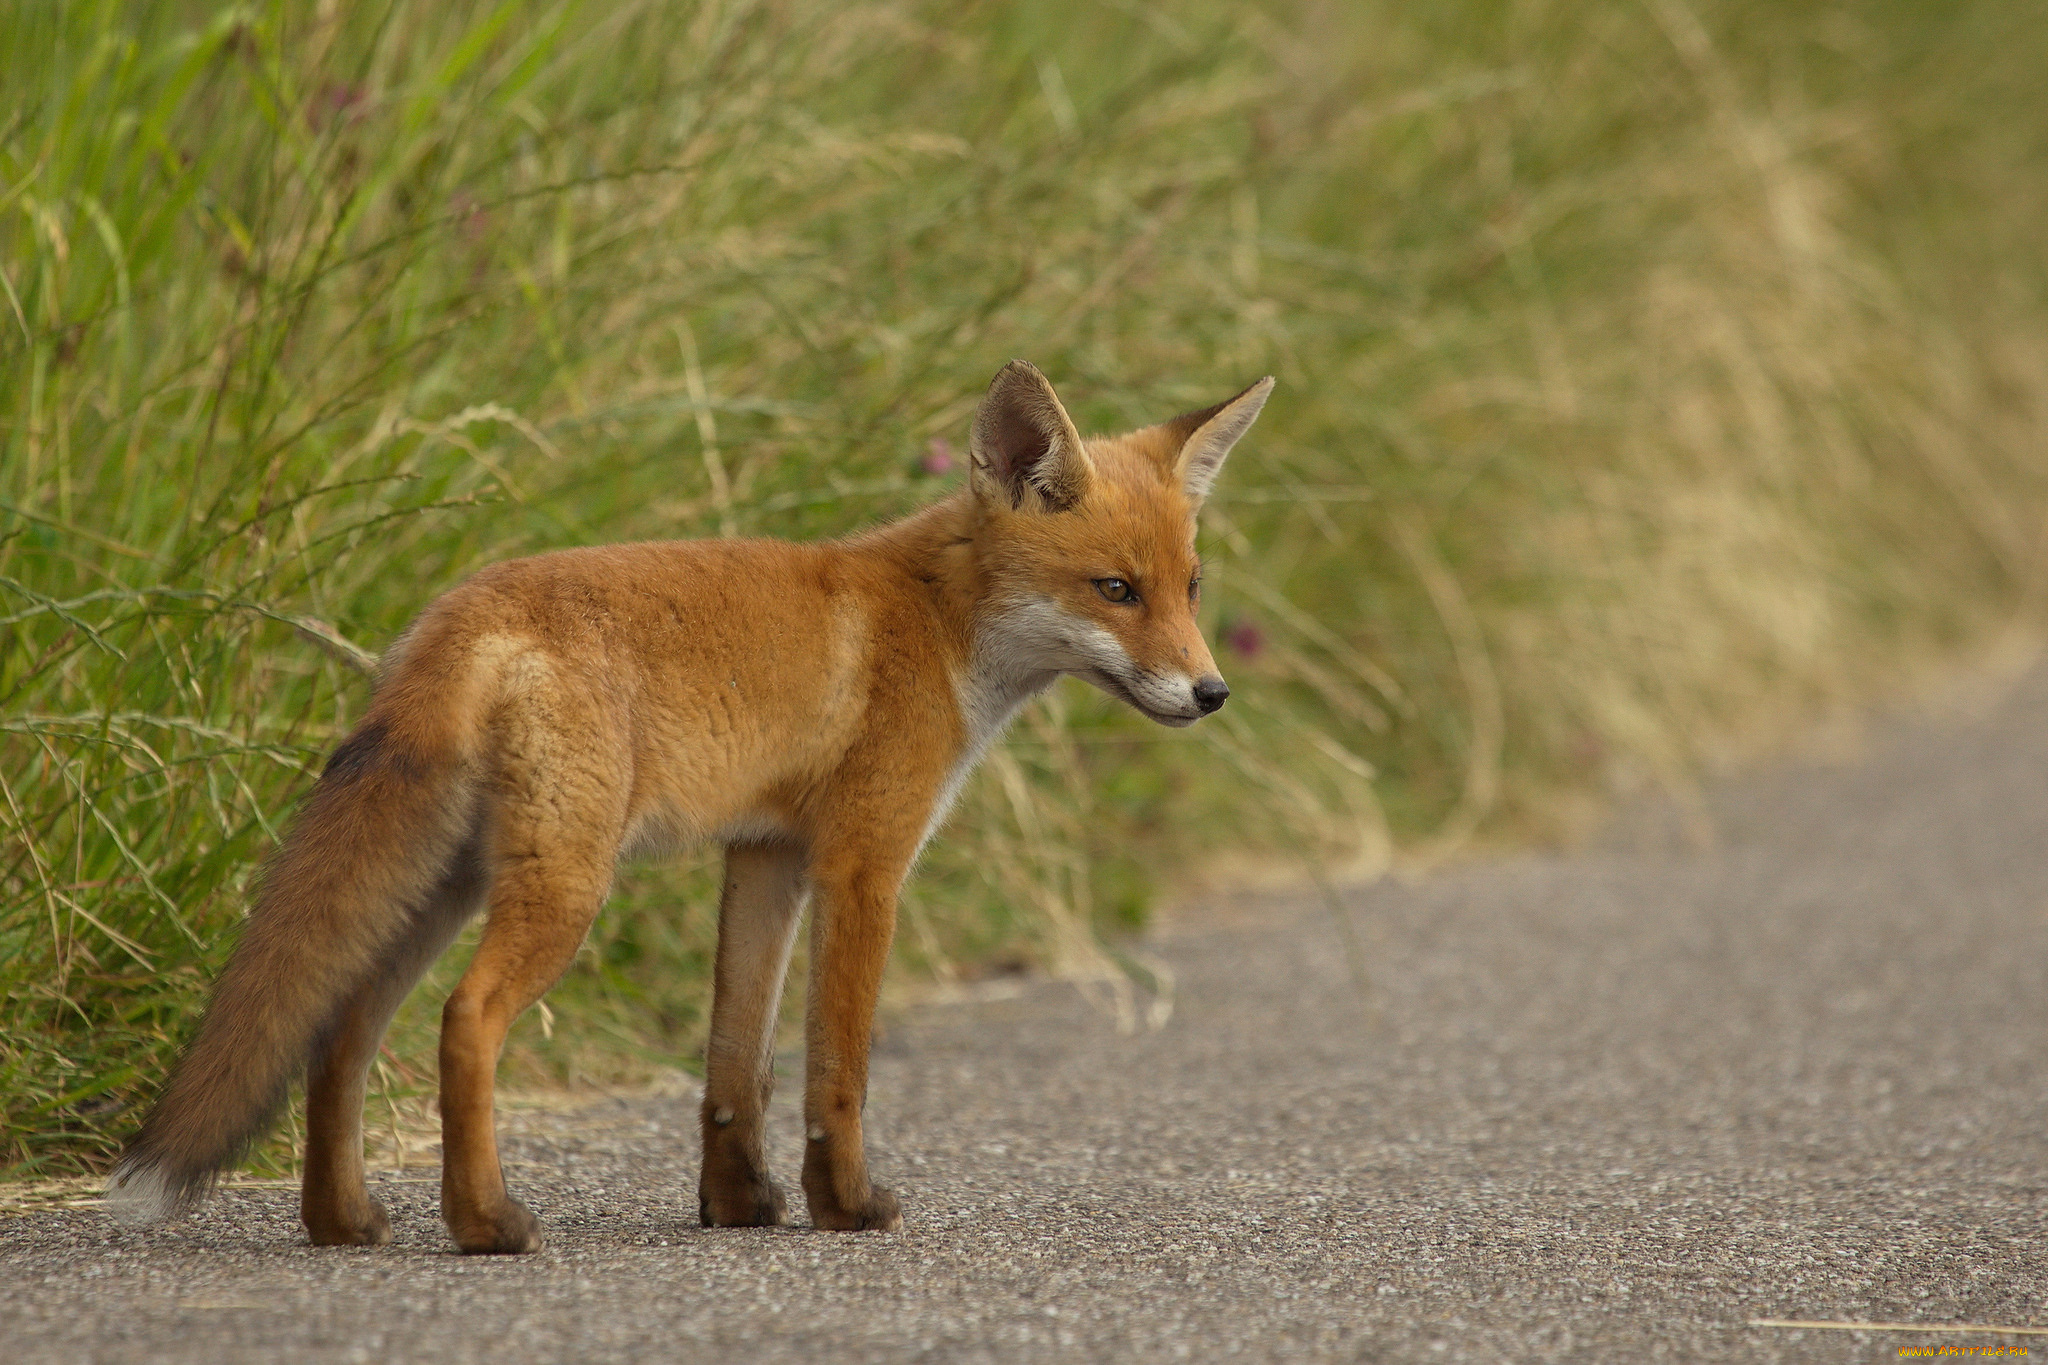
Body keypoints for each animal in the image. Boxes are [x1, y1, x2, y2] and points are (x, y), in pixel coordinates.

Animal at [112, 358, 1269, 1252]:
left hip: (443, 889)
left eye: (1190, 588)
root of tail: (461, 611)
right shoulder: (864, 862)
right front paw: (845, 1207)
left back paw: (341, 1220)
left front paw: (739, 1204)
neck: (937, 624)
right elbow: (836, 1070)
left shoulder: (765, 855)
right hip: (564, 887)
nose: (1212, 693)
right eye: (1114, 590)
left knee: (343, 1027)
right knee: (464, 1019)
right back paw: (486, 1222)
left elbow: (735, 1064)